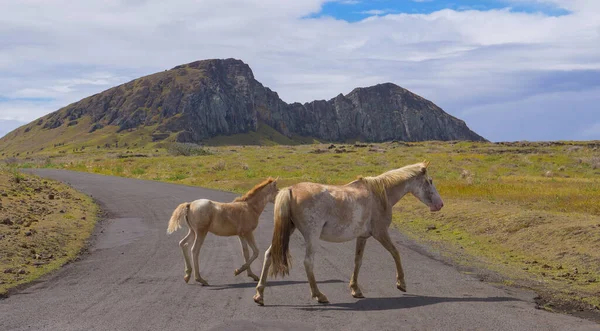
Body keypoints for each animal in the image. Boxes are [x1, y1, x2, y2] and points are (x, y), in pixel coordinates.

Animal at [251, 161, 442, 306]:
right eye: (430, 181)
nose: (440, 205)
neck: (379, 195)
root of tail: (290, 189)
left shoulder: (362, 237)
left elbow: (358, 261)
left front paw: (355, 289)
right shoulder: (381, 233)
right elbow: (396, 253)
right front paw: (401, 283)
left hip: (289, 231)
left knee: (269, 255)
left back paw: (259, 295)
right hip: (311, 236)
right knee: (308, 262)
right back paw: (319, 295)